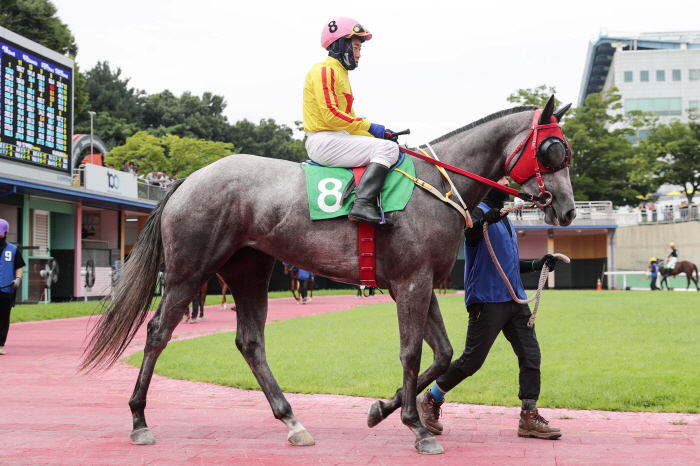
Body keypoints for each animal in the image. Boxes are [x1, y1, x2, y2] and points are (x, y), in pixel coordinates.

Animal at [82, 96, 576, 456]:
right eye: (553, 150)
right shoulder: (411, 283)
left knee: (250, 341)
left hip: (249, 271)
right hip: (189, 272)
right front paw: (416, 427)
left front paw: (382, 409)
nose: (568, 210)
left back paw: (292, 420)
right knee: (158, 332)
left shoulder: (421, 284)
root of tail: (187, 179)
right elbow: (412, 353)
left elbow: (443, 354)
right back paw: (139, 420)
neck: (435, 184)